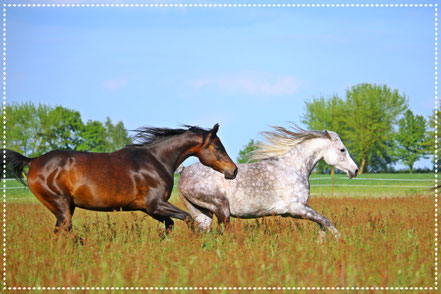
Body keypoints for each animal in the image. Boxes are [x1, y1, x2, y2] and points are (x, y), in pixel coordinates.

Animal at [3, 123, 237, 234]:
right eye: (217, 146)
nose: (233, 171)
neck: (157, 160)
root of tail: (33, 161)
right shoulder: (155, 204)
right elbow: (188, 219)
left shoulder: (148, 208)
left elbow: (169, 225)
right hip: (60, 205)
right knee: (65, 231)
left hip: (66, 207)